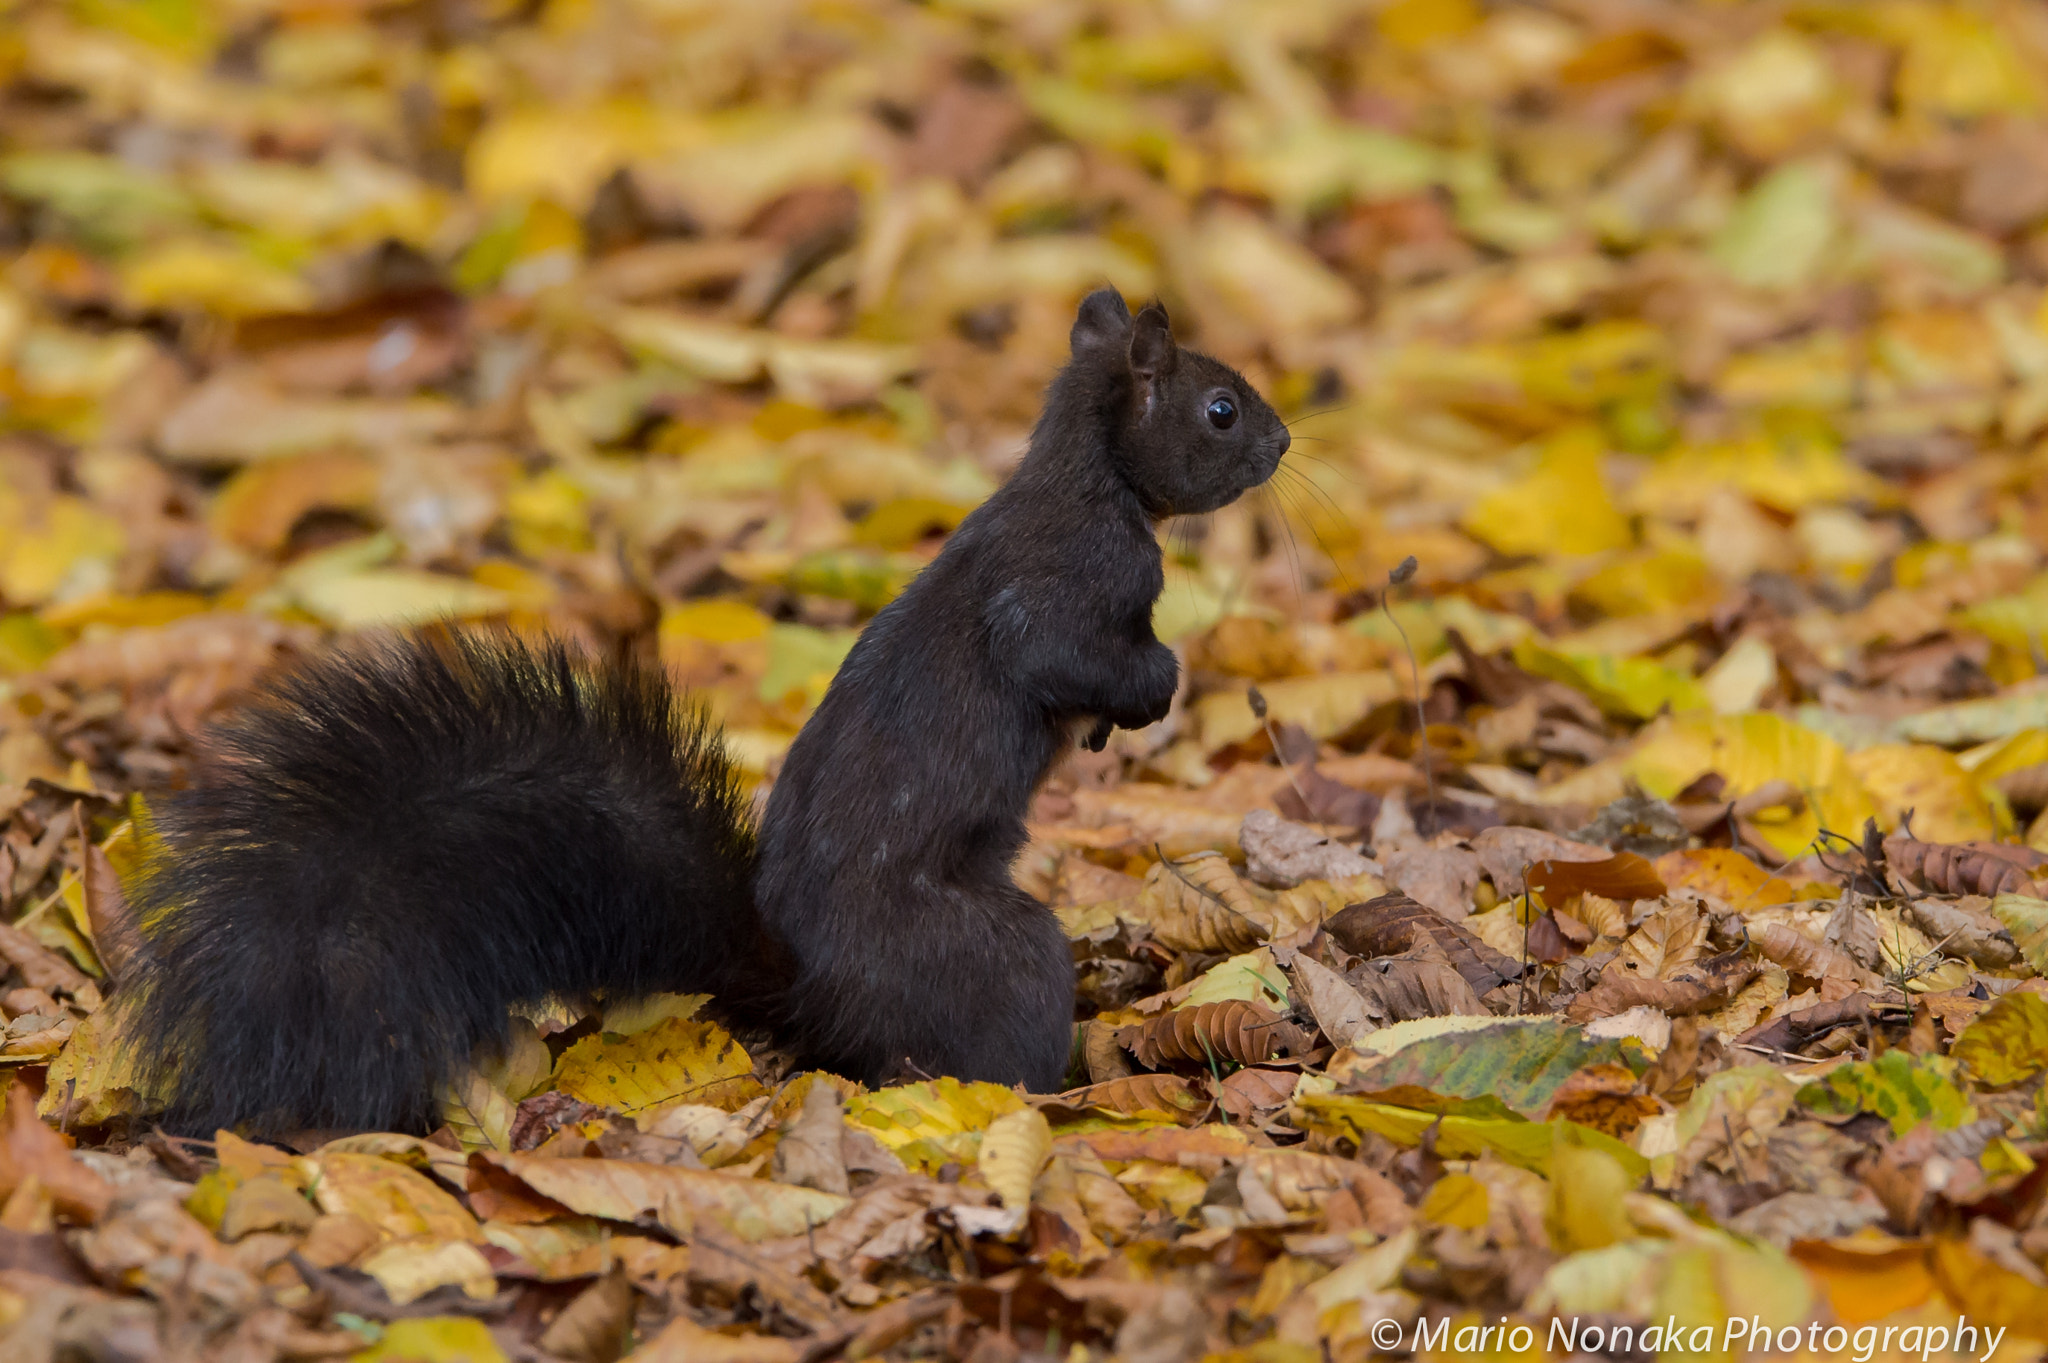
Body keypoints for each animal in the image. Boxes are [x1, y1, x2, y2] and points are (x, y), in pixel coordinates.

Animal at [126, 289, 1289, 1135]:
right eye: (1219, 408)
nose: (1282, 443)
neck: (1087, 472)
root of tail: (809, 995)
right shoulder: (1069, 579)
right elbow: (1063, 651)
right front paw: (1149, 688)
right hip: (989, 956)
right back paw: (1066, 1080)